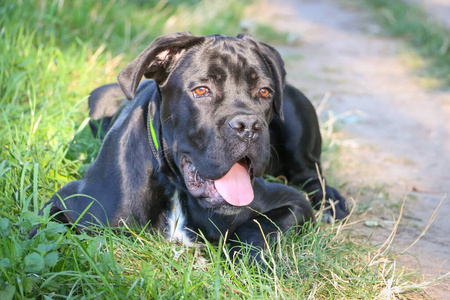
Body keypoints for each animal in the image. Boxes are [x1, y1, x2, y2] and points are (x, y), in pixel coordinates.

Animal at [38, 32, 348, 258]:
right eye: (201, 90)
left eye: (264, 92)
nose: (248, 126)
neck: (174, 183)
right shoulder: (66, 202)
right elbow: (43, 234)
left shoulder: (292, 202)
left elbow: (256, 228)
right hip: (99, 96)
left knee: (311, 174)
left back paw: (333, 203)